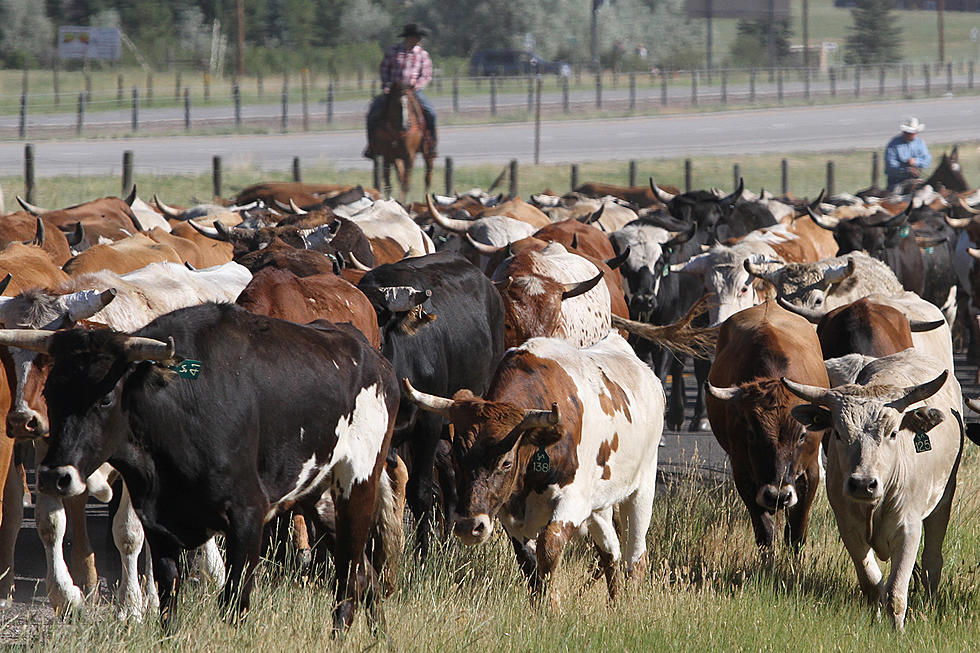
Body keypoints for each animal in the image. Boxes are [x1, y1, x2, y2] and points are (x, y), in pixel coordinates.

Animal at [10, 304, 398, 632]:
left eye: (105, 398)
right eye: (50, 394)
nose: (54, 477)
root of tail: (374, 358)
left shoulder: (248, 518)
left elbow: (234, 604)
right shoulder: (159, 525)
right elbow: (168, 606)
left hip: (357, 485)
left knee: (348, 580)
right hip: (318, 496)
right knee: (366, 576)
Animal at [402, 334, 664, 604]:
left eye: (506, 462)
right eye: (456, 458)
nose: (468, 527)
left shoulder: (574, 501)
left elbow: (548, 548)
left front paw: (553, 605)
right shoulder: (508, 511)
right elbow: (528, 564)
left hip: (642, 489)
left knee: (636, 556)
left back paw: (630, 600)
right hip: (600, 506)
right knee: (611, 551)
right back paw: (615, 603)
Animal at [708, 304, 832, 548]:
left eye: (802, 435)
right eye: (751, 433)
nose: (777, 496)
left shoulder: (810, 472)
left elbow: (796, 534)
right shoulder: (743, 474)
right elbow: (766, 533)